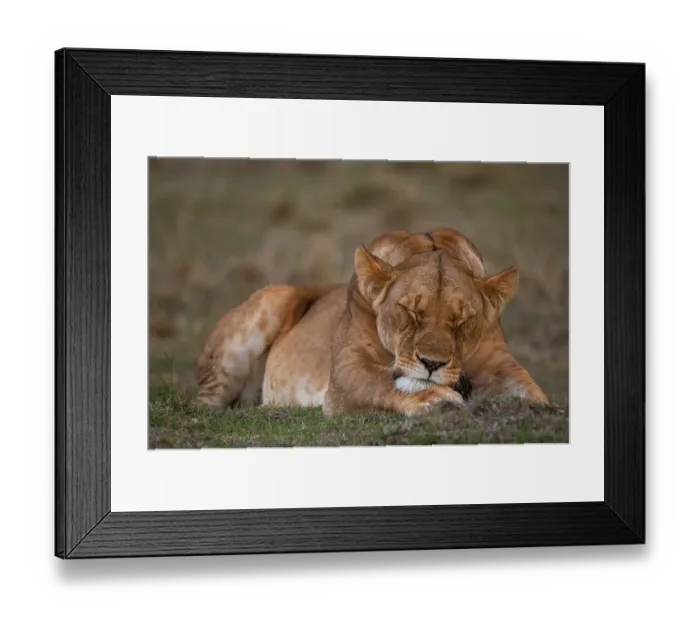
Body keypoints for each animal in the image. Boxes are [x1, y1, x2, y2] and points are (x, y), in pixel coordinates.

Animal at [195, 228, 548, 416]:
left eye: (462, 321)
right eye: (410, 312)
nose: (432, 364)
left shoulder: (499, 363)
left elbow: (533, 392)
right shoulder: (345, 371)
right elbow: (380, 383)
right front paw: (435, 399)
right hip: (268, 305)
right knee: (206, 400)